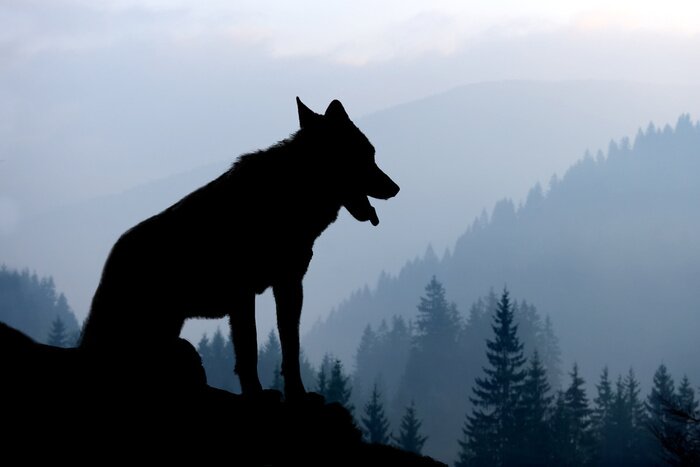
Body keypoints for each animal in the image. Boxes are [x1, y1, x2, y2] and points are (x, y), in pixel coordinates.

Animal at [79, 98, 399, 400]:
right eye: (366, 155)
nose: (395, 188)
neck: (291, 192)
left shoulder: (288, 286)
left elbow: (290, 347)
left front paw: (297, 394)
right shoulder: (243, 294)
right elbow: (250, 349)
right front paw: (256, 394)